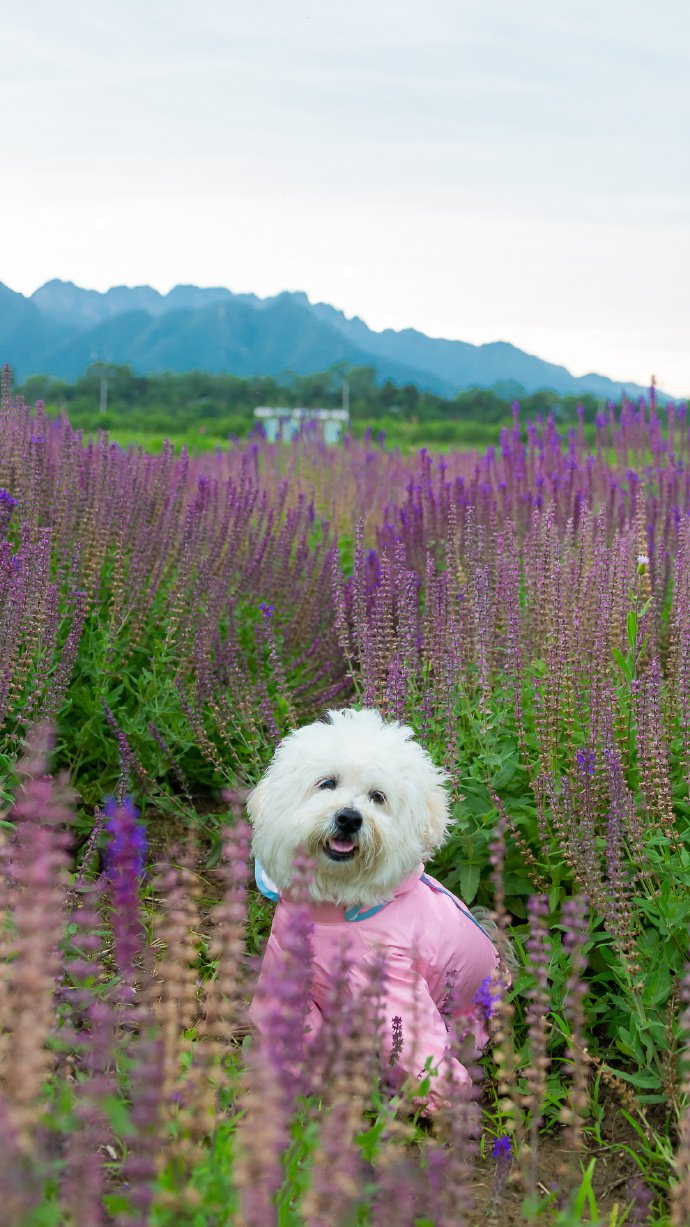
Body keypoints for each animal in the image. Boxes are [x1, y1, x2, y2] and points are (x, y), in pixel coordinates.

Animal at [246, 706, 498, 1109]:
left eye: (377, 797)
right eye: (327, 783)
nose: (349, 818)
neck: (335, 911)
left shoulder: (394, 982)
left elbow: (418, 1046)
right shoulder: (287, 961)